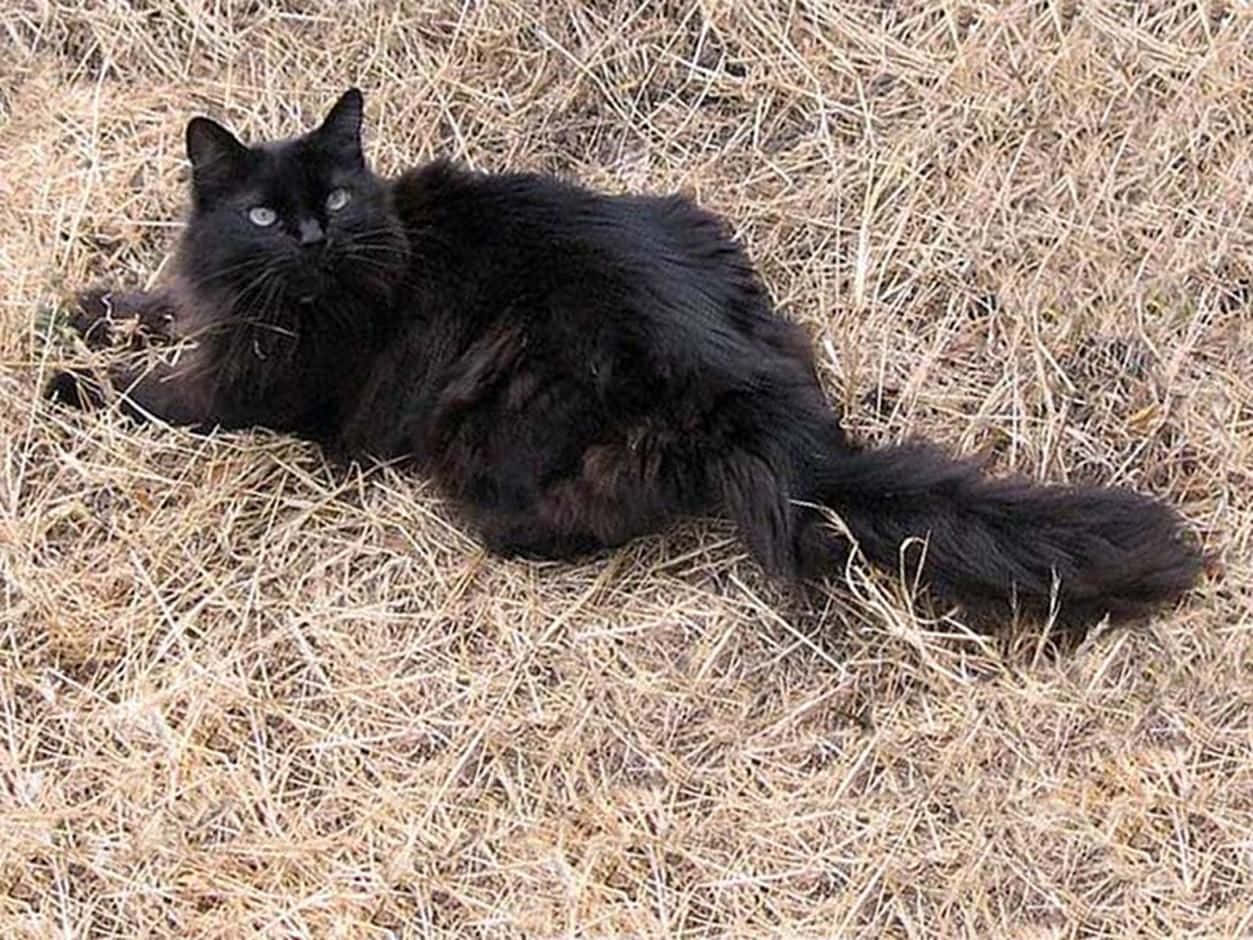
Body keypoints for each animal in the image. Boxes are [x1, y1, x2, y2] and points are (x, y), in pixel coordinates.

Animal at [51, 88, 1202, 626]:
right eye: (260, 213)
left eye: (331, 200)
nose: (307, 239)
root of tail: (755, 397)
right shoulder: (212, 315)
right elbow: (154, 308)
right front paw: (83, 309)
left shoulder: (246, 388)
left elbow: (147, 394)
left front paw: (65, 379)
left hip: (502, 411)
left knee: (587, 518)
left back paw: (495, 534)